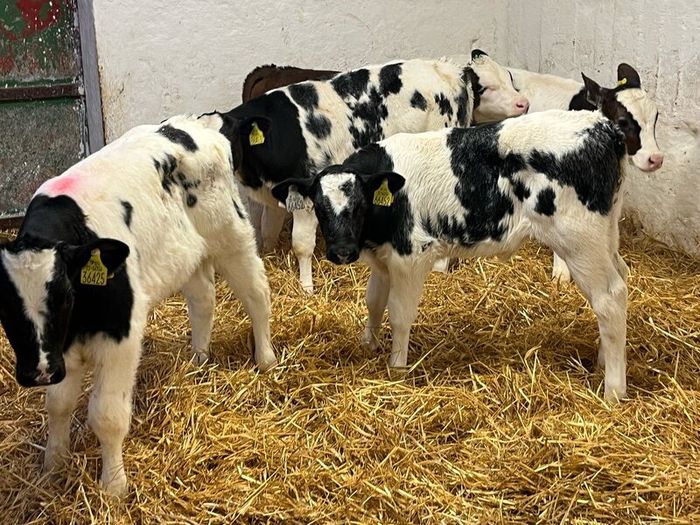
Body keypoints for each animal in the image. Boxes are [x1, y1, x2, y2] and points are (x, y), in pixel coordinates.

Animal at [0, 115, 276, 496]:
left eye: (65, 295)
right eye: (5, 307)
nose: (38, 372)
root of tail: (199, 122)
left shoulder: (121, 337)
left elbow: (107, 415)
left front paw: (114, 486)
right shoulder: (60, 350)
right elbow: (58, 404)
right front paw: (53, 467)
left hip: (230, 235)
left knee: (256, 294)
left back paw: (266, 359)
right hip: (185, 255)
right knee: (203, 299)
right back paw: (198, 359)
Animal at [201, 50, 529, 293]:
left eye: (228, 141)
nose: (523, 103)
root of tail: (445, 69)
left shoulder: (307, 197)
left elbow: (302, 246)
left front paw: (306, 287)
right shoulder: (278, 192)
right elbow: (267, 233)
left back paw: (438, 270)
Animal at [271, 109, 630, 403]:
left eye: (360, 205)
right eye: (319, 207)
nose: (342, 252)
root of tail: (602, 126)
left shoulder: (412, 255)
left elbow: (399, 314)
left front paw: (396, 367)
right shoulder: (385, 259)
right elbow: (373, 301)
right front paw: (368, 343)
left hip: (580, 241)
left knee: (609, 298)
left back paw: (613, 389)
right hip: (606, 237)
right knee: (621, 279)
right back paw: (603, 360)